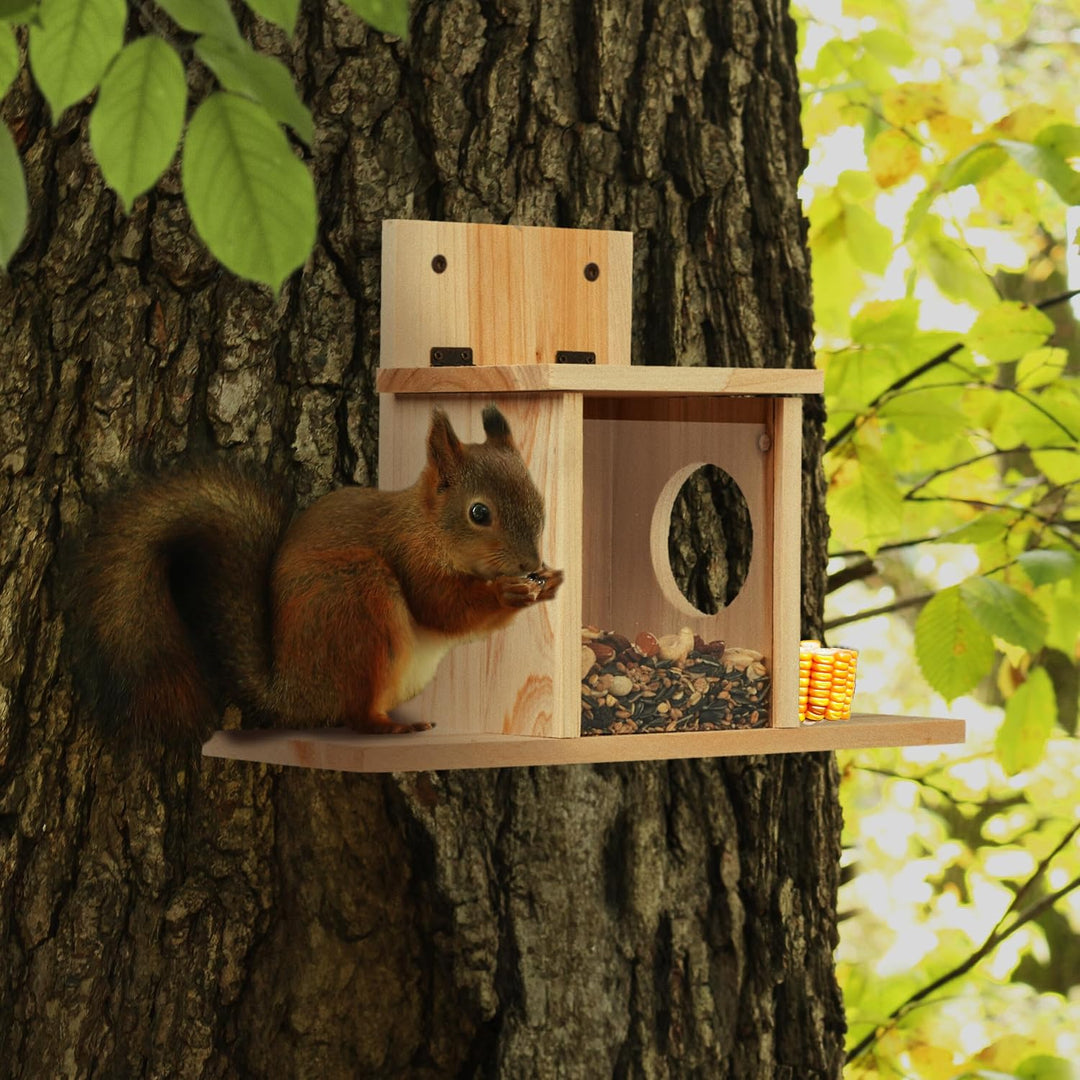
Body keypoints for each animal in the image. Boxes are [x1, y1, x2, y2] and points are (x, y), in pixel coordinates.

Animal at [71, 405, 564, 742]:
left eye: (539, 499)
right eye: (479, 513)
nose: (529, 565)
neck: (426, 526)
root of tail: (291, 692)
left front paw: (551, 582)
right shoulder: (409, 557)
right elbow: (443, 608)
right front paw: (507, 593)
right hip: (356, 600)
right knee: (356, 715)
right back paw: (390, 728)